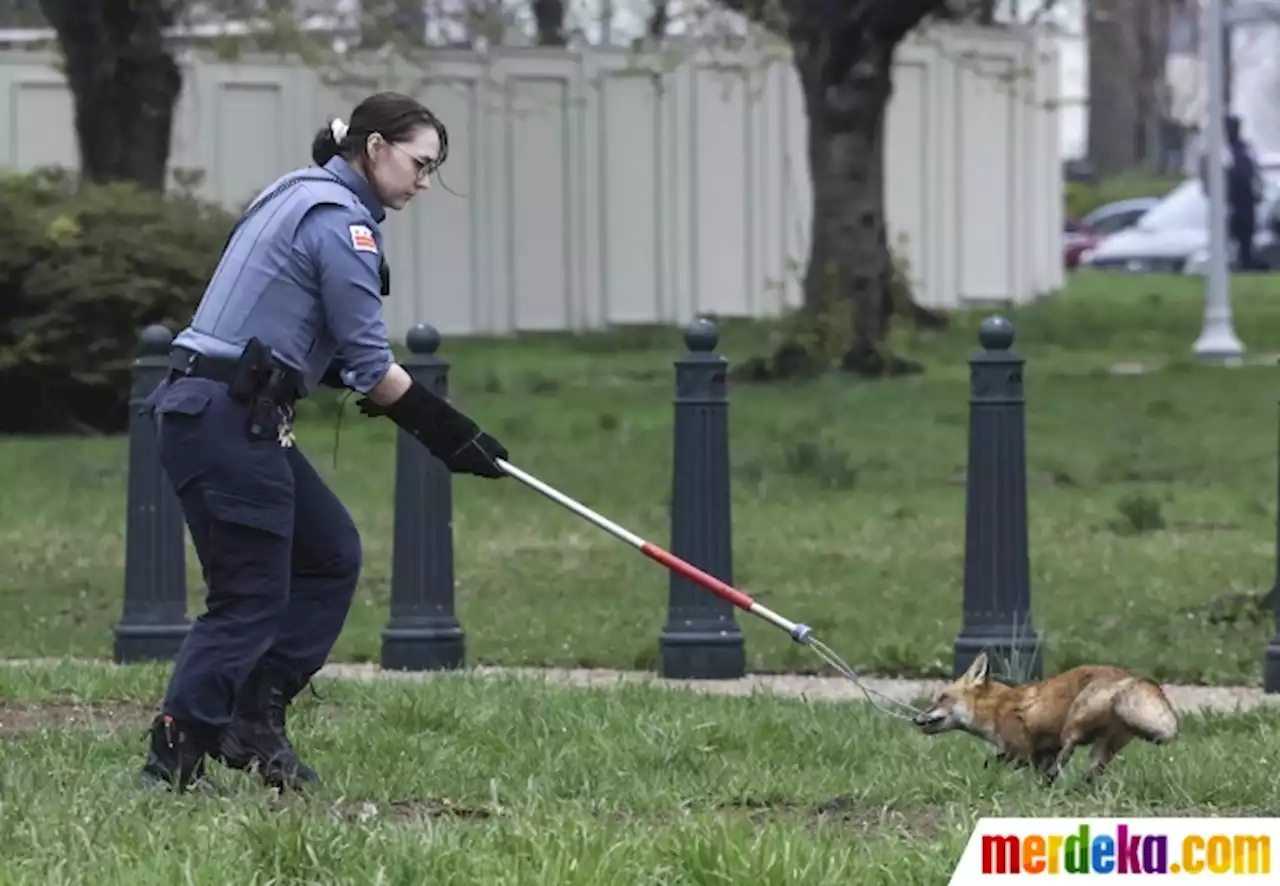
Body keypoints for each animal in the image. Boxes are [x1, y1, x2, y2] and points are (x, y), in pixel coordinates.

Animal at [911, 650, 1177, 783]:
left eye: (942, 697)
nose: (916, 719)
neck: (997, 709)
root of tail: (1131, 677)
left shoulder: (1021, 749)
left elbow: (995, 762)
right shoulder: (1041, 751)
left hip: (1074, 720)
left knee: (1069, 749)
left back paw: (1058, 779)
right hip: (1105, 744)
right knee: (1092, 767)